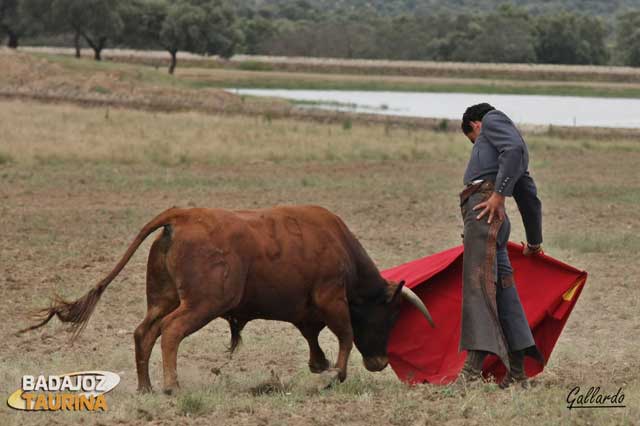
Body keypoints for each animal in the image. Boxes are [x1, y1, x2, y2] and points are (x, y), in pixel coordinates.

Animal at [23, 206, 436, 392]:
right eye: (390, 316)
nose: (380, 363)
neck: (339, 246)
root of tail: (181, 216)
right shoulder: (332, 298)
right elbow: (345, 335)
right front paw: (335, 374)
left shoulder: (307, 310)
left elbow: (312, 335)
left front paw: (320, 367)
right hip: (202, 304)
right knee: (170, 332)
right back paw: (171, 386)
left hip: (163, 298)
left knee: (145, 332)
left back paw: (146, 387)